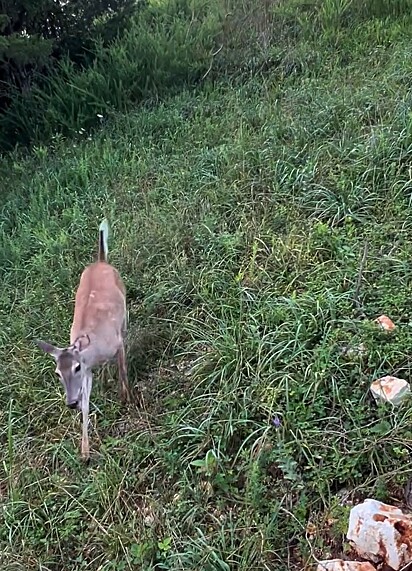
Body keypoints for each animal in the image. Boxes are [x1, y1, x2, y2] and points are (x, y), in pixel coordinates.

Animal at [36, 219, 129, 460]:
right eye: (57, 373)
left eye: (75, 367)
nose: (70, 403)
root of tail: (100, 260)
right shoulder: (88, 372)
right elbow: (86, 405)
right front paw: (85, 452)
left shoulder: (116, 344)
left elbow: (123, 371)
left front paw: (127, 399)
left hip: (123, 298)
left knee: (126, 323)